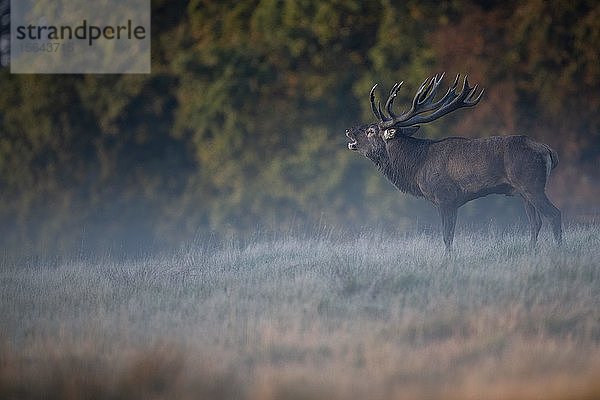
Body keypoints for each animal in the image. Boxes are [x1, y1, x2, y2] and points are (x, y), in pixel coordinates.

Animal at [346, 73, 564, 252]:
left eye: (371, 131)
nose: (349, 130)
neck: (417, 166)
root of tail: (548, 151)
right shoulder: (453, 202)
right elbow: (449, 235)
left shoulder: (445, 197)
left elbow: (447, 236)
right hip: (523, 192)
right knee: (535, 223)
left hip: (532, 185)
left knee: (554, 215)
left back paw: (558, 252)